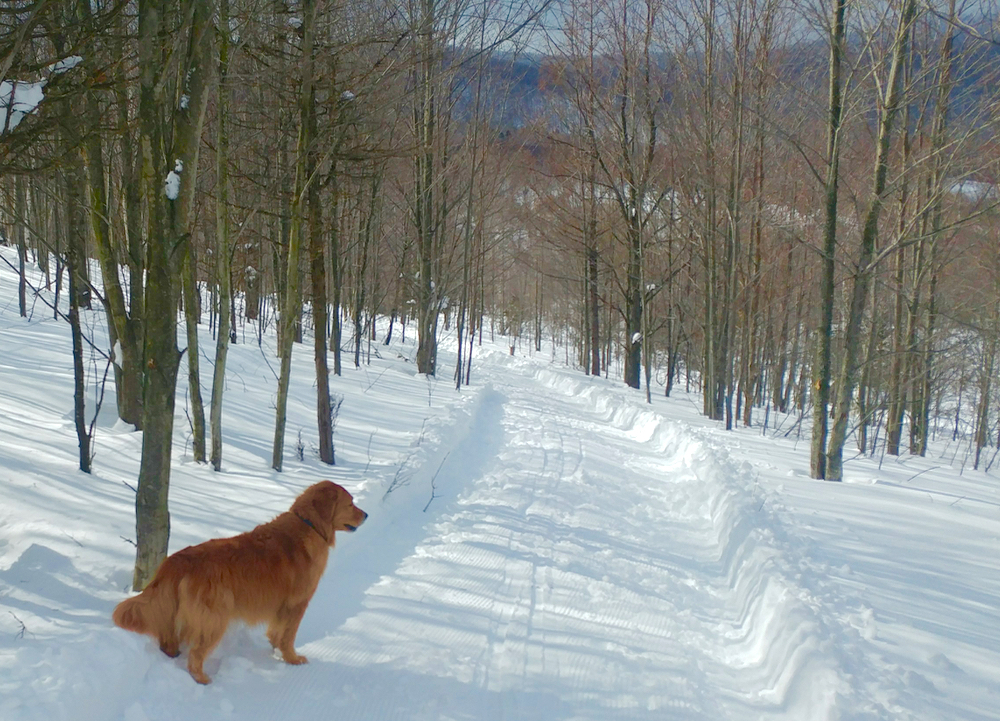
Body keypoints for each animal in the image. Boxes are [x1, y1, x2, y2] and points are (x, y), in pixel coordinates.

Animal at [111, 480, 368, 684]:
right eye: (350, 503)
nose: (365, 515)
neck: (309, 525)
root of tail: (178, 560)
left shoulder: (281, 606)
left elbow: (276, 632)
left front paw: (275, 649)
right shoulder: (296, 603)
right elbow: (288, 636)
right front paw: (292, 659)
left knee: (169, 640)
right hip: (215, 618)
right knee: (195, 654)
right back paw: (202, 679)